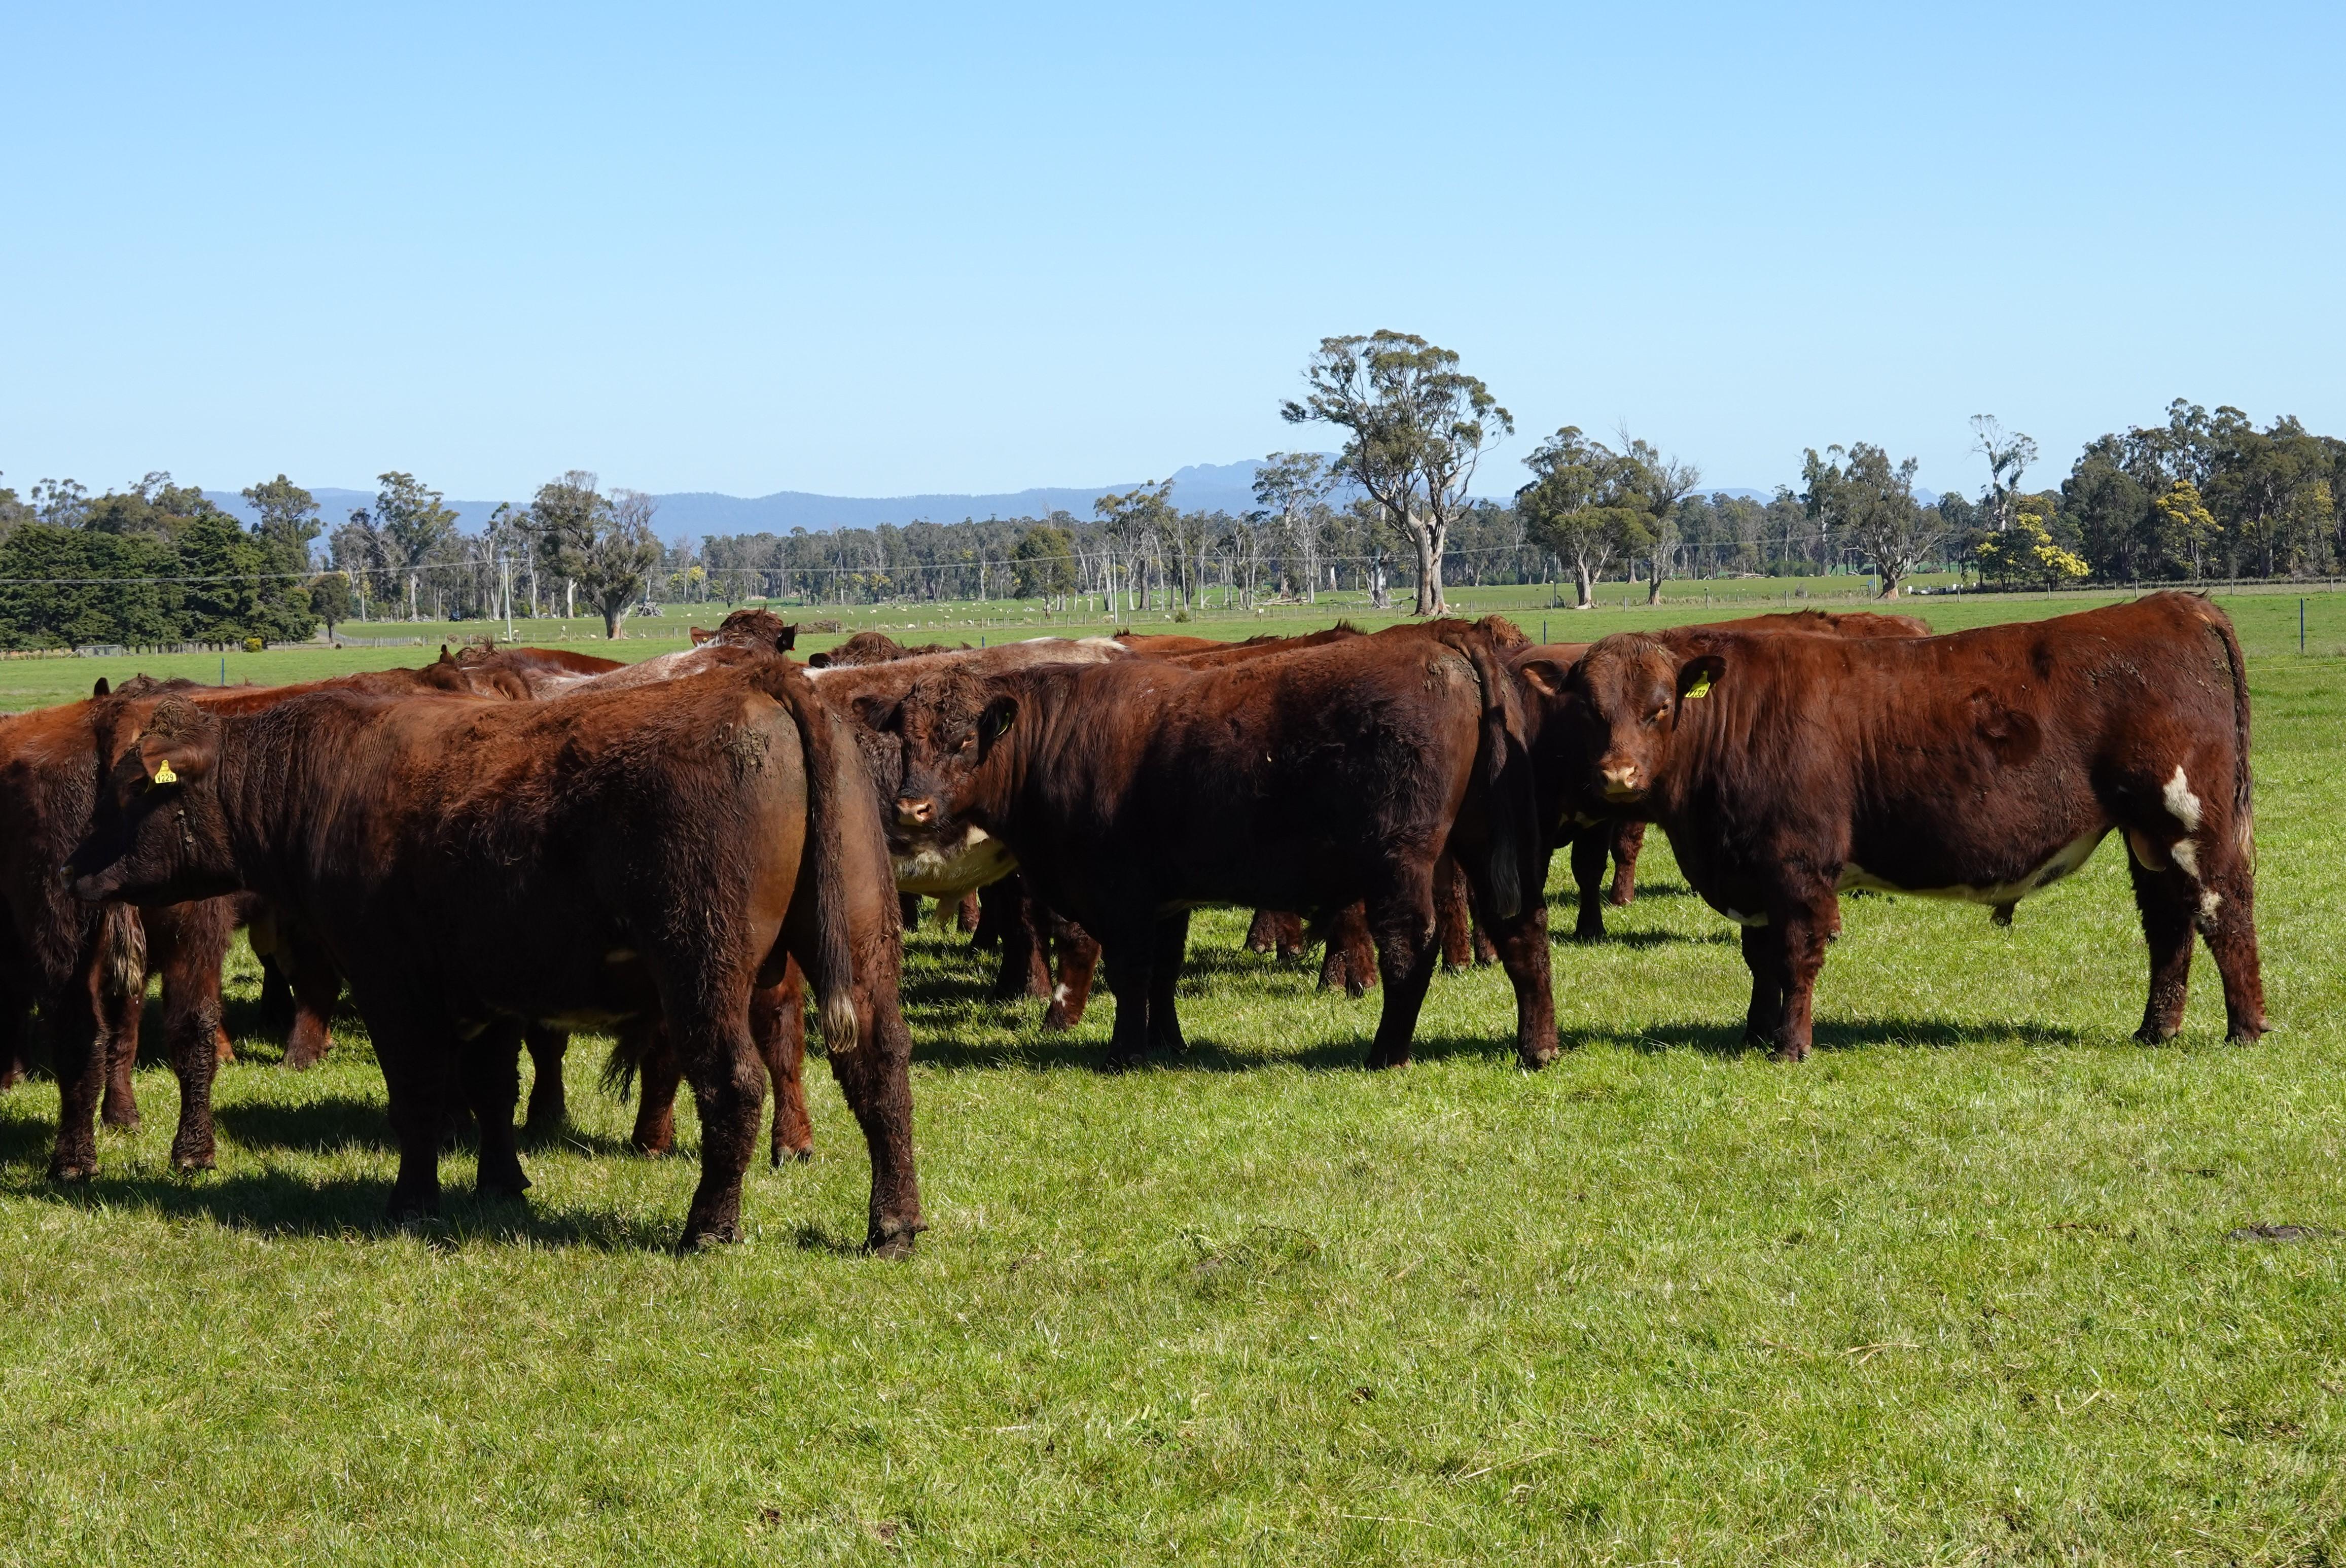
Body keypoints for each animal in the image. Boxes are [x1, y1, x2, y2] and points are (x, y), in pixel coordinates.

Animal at [67, 658, 922, 1252]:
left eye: (131, 791)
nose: (75, 872)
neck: (321, 777)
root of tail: (764, 681)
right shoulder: (491, 988)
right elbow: (492, 1090)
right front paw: (501, 1182)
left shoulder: (391, 981)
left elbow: (418, 1092)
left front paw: (414, 1201)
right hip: (858, 946)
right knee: (880, 1073)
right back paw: (893, 1226)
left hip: (702, 965)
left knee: (735, 1083)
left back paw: (708, 1226)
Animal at [878, 622, 1552, 1068]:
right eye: (907, 739)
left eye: (964, 741)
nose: (910, 806)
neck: (1059, 735)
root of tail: (1442, 644)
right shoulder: (1167, 898)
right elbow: (1164, 972)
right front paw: (1167, 1042)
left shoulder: (1121, 894)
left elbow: (1131, 971)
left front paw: (1125, 1050)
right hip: (1487, 840)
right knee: (1523, 931)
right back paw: (1537, 1047)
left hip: (1402, 858)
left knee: (1410, 946)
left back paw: (1387, 1052)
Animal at [1517, 593, 2264, 1060]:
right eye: (1590, 709)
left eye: (1661, 707)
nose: (1618, 775)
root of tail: (2173, 605)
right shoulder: (1753, 868)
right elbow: (1759, 955)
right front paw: (1755, 1030)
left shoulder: (1797, 865)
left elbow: (1796, 953)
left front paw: (1790, 1044)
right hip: (2149, 839)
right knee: (2168, 927)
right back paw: (2155, 1030)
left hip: (2191, 821)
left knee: (2224, 912)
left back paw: (2246, 1028)